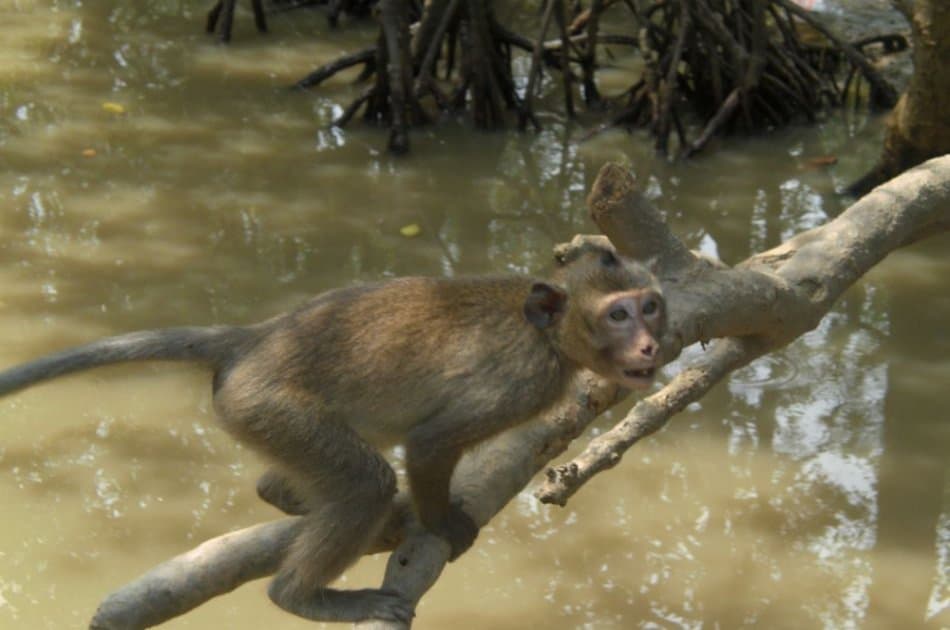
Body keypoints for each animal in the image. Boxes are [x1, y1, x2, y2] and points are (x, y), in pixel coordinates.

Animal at [0, 240, 665, 624]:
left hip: (259, 415)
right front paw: (441, 524)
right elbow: (429, 443)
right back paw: (299, 595)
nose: (651, 344)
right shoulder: (521, 383)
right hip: (266, 403)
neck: (547, 336)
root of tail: (255, 338)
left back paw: (286, 497)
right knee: (365, 484)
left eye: (651, 305)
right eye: (617, 314)